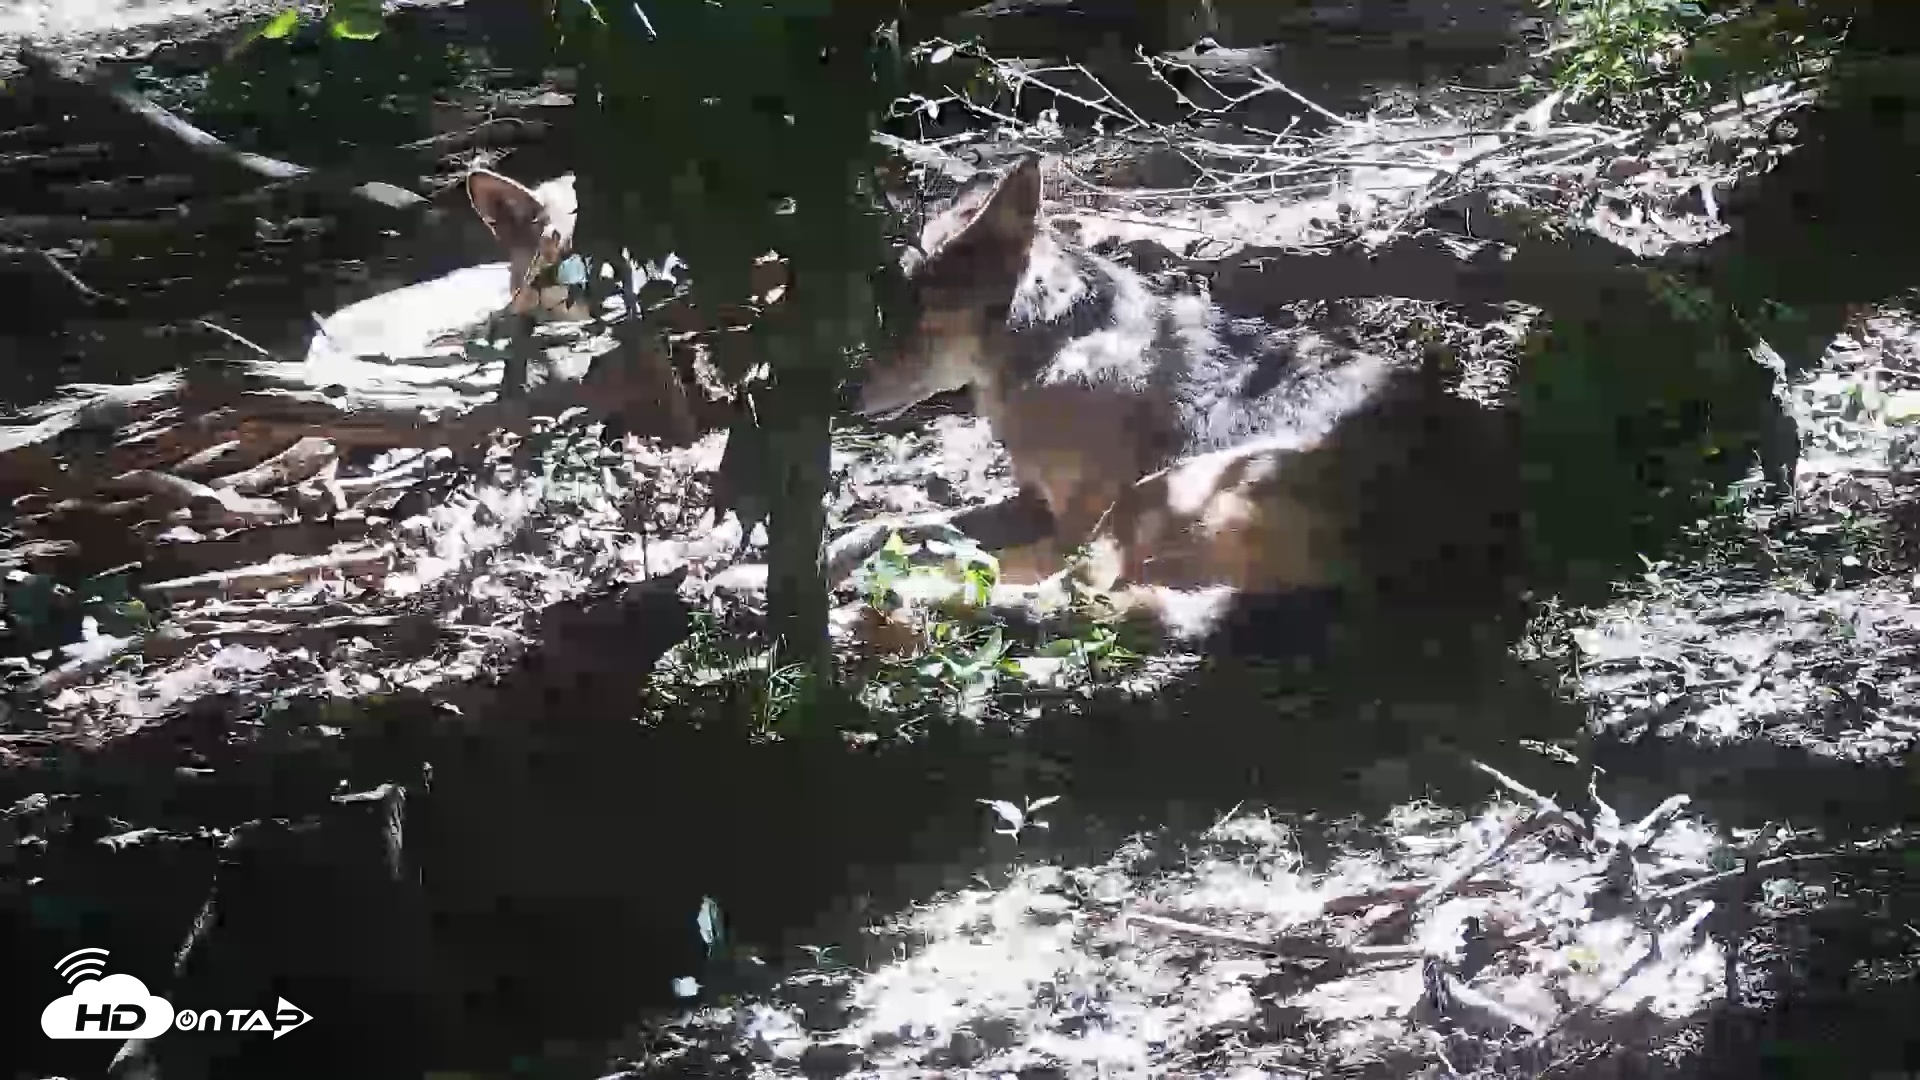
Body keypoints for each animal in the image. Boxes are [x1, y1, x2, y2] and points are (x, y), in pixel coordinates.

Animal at [854, 154, 1523, 649]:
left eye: (912, 315)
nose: (845, 392)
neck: (1060, 338)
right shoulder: (1032, 503)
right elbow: (897, 523)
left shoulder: (1070, 524)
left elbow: (984, 555)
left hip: (1160, 490)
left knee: (1066, 592)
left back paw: (901, 600)